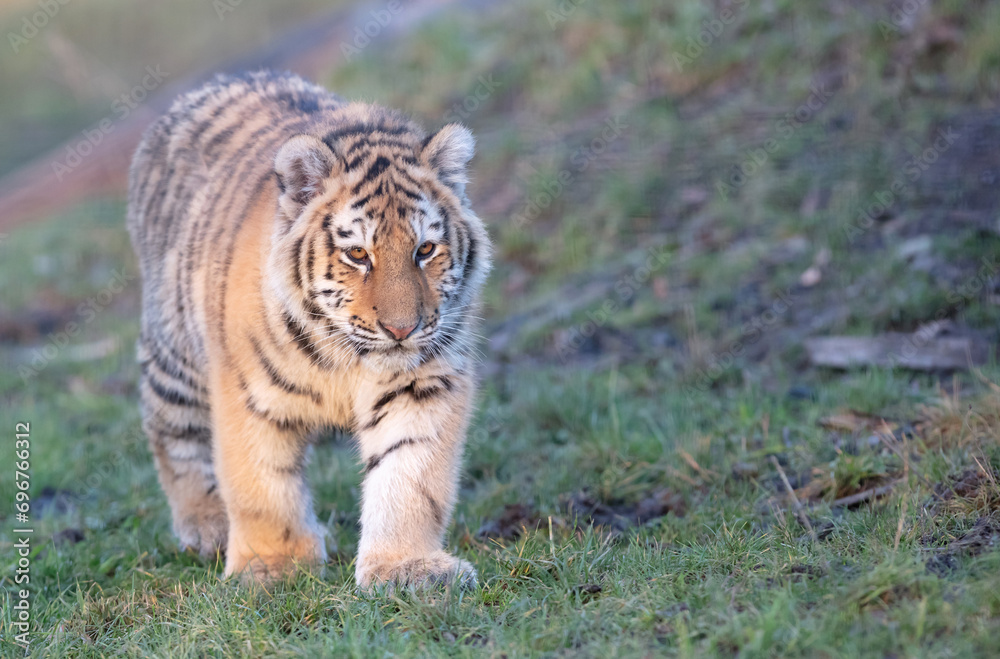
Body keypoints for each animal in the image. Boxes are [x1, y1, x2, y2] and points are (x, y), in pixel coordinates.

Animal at [126, 70, 491, 589]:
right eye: (357, 254)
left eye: (425, 250)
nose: (402, 329)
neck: (348, 356)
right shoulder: (247, 394)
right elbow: (259, 485)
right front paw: (272, 569)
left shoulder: (422, 382)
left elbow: (410, 473)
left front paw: (405, 567)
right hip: (175, 354)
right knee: (170, 431)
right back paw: (207, 526)